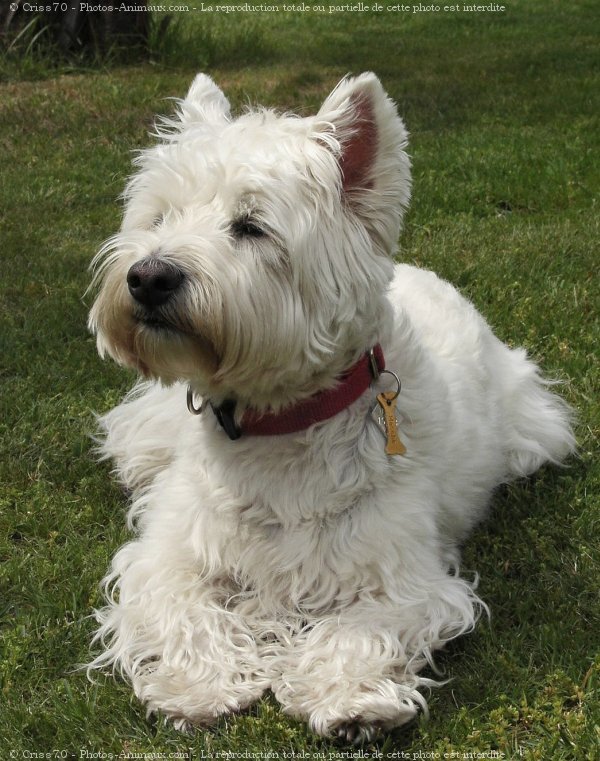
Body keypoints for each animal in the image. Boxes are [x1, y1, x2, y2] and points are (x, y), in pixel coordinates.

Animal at [86, 72, 576, 744]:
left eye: (251, 226)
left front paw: (349, 701)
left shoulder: (402, 572)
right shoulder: (172, 553)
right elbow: (182, 604)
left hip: (531, 429)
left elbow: (361, 626)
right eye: (159, 216)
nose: (148, 277)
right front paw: (198, 688)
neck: (277, 426)